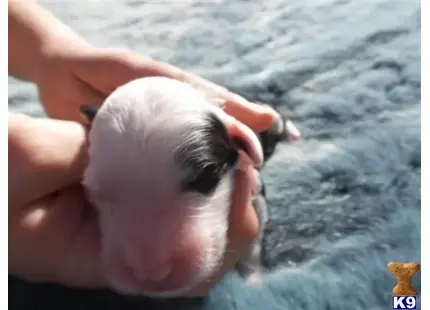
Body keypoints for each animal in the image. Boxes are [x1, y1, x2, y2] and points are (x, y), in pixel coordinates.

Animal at [80, 75, 296, 298]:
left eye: (206, 174)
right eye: (96, 190)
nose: (151, 275)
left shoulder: (257, 197)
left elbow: (254, 243)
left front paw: (253, 281)